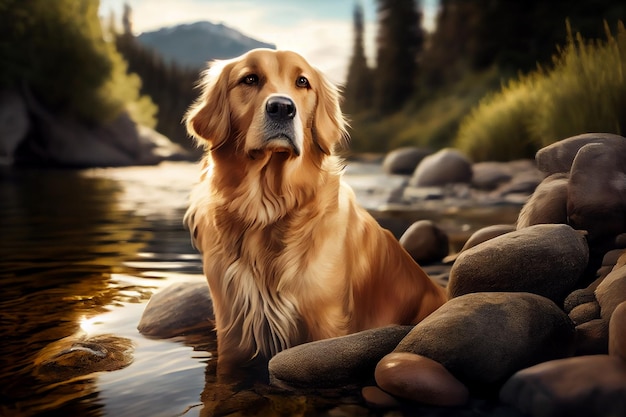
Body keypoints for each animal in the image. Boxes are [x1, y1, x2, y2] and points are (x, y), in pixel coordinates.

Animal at [183, 48, 446, 368]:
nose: (282, 108)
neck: (268, 208)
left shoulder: (326, 320)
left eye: (302, 82)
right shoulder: (232, 326)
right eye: (250, 79)